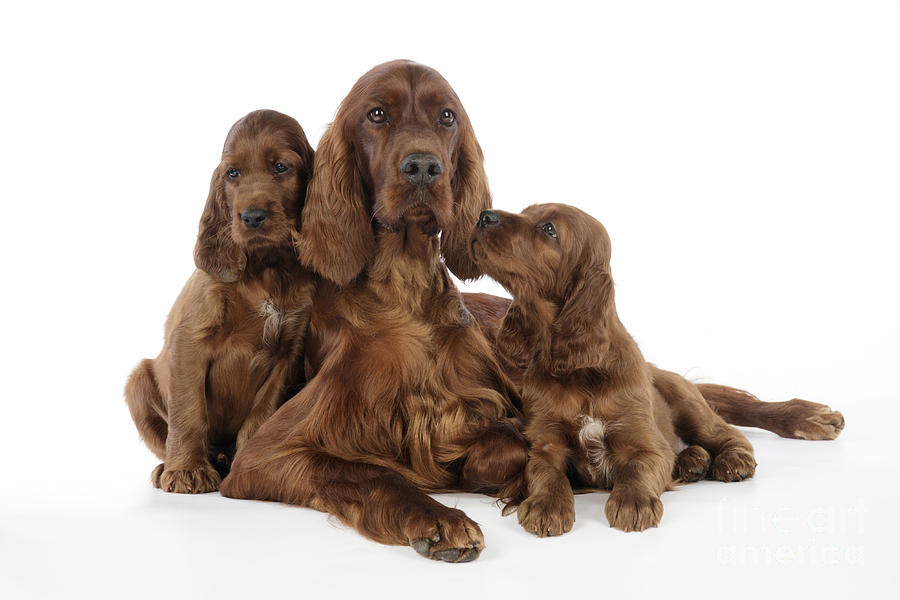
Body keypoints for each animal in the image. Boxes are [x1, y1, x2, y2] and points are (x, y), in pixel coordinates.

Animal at [125, 110, 318, 494]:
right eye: (233, 173)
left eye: (280, 167)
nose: (252, 217)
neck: (266, 270)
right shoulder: (190, 341)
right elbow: (188, 412)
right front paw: (187, 470)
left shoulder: (289, 352)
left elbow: (260, 415)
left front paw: (249, 465)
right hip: (137, 383)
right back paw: (169, 467)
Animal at [220, 62, 528, 564]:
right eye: (377, 114)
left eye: (447, 116)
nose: (423, 166)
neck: (405, 287)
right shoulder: (264, 454)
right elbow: (372, 472)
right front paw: (440, 518)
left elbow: (507, 440)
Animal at [472, 205, 844, 536]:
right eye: (525, 211)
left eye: (549, 229)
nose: (484, 216)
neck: (578, 371)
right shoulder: (545, 443)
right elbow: (548, 474)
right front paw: (545, 506)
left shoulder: (643, 441)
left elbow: (637, 468)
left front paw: (634, 503)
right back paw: (693, 461)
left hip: (688, 405)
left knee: (726, 431)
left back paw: (734, 458)